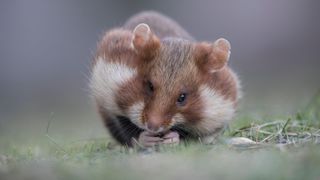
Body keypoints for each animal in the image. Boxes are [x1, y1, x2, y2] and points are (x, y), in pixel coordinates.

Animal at [90, 10, 240, 147]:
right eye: (150, 86)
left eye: (182, 97)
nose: (152, 127)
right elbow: (125, 127)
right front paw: (147, 139)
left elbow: (189, 135)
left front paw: (171, 138)